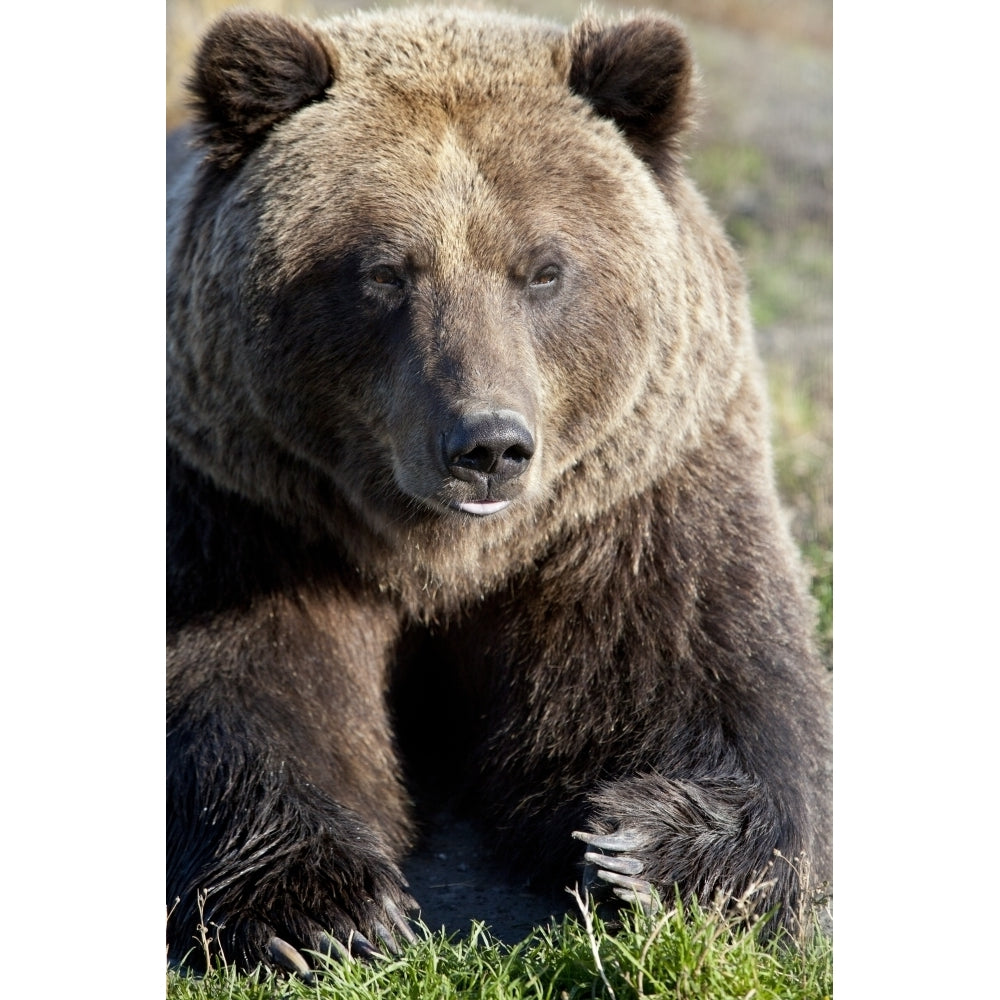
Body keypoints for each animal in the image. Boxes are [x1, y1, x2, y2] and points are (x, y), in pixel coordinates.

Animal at [168, 5, 832, 976]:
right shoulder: (246, 505)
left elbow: (715, 679)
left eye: (544, 269)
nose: (488, 445)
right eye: (385, 271)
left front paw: (645, 849)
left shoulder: (637, 502)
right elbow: (233, 684)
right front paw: (327, 908)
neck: (442, 552)